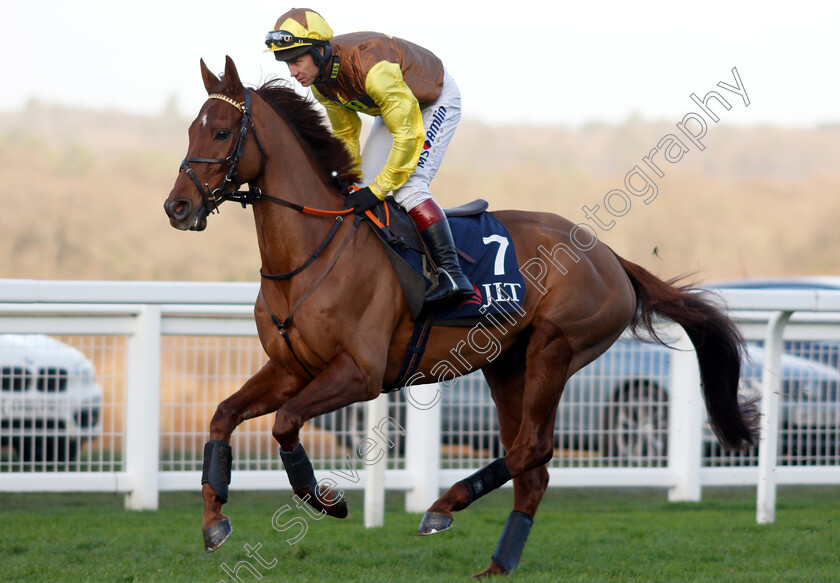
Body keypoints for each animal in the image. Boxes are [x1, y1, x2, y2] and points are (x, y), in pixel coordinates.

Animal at [162, 57, 756, 576]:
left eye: (221, 133)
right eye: (190, 130)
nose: (177, 207)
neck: (312, 250)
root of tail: (608, 255)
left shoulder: (359, 373)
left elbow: (285, 424)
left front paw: (327, 501)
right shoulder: (292, 369)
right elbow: (222, 416)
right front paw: (215, 523)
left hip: (555, 349)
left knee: (533, 448)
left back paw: (442, 506)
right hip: (505, 365)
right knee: (531, 469)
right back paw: (496, 564)